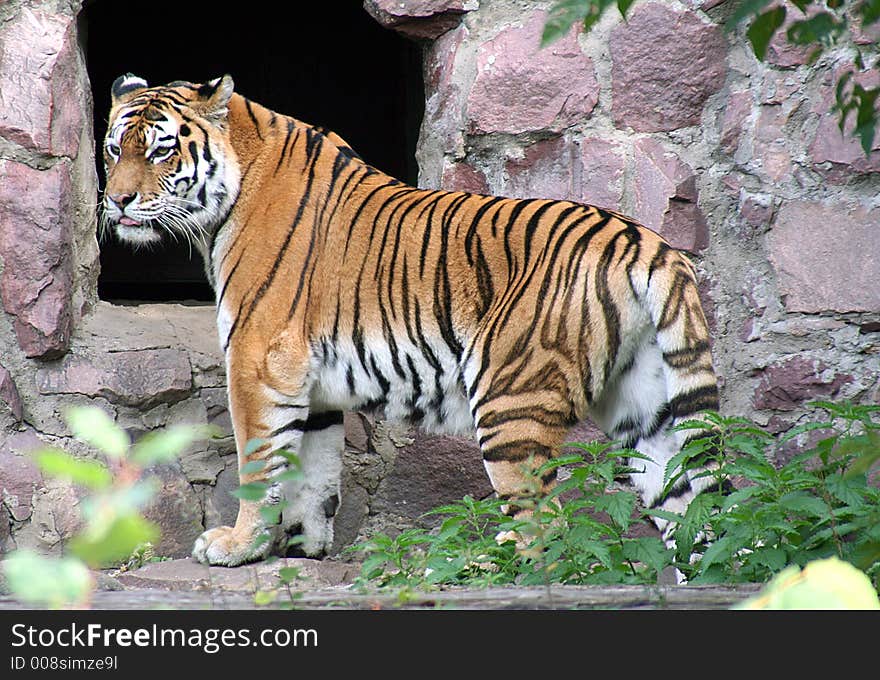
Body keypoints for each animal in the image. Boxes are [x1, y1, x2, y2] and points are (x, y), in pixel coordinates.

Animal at [103, 73, 720, 568]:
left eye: (159, 152)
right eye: (113, 150)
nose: (117, 201)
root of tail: (643, 240)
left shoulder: (259, 359)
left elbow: (260, 464)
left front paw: (236, 546)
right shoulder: (310, 384)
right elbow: (313, 473)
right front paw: (303, 547)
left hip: (510, 398)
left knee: (544, 536)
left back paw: (486, 566)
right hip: (651, 412)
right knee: (697, 518)